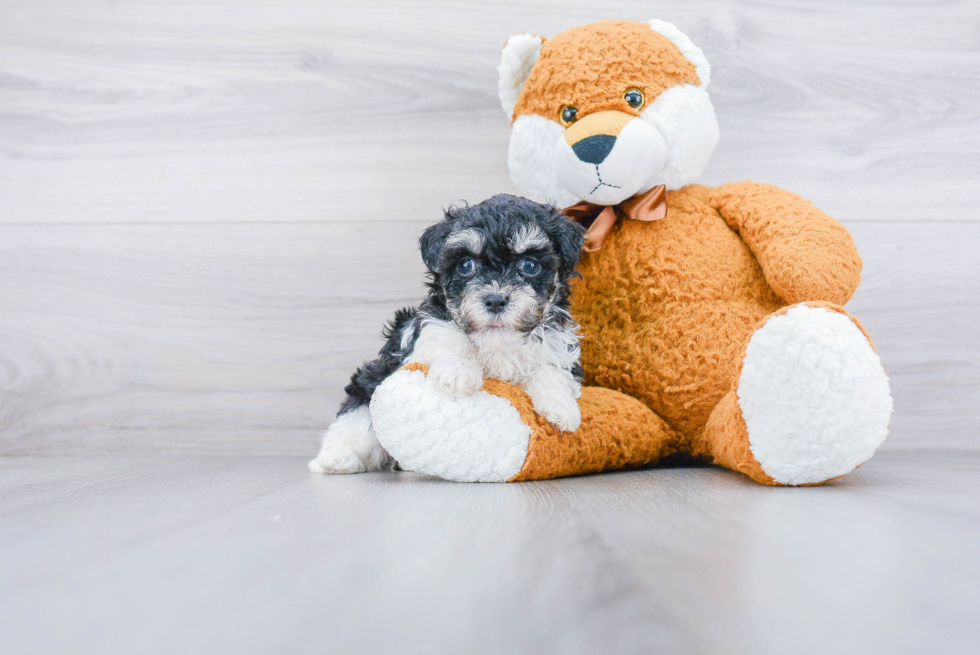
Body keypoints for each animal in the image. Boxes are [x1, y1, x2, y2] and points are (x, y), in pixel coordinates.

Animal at [308, 192, 580, 474]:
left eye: (529, 265)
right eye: (466, 265)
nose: (495, 300)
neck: (496, 341)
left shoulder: (558, 342)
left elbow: (551, 368)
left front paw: (561, 406)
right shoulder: (425, 329)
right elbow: (446, 337)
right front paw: (458, 373)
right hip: (370, 383)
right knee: (356, 419)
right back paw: (337, 458)